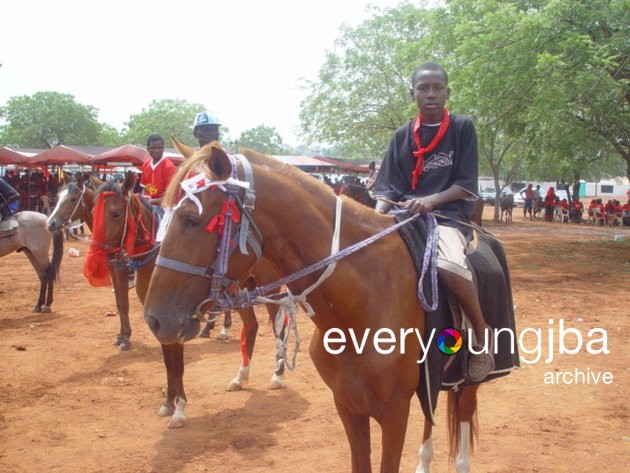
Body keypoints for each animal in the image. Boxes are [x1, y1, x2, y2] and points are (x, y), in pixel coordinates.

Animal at [144, 143, 484, 472]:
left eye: (191, 220)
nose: (154, 319)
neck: (361, 305)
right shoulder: (348, 406)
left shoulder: (394, 412)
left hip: (467, 383)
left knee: (464, 418)